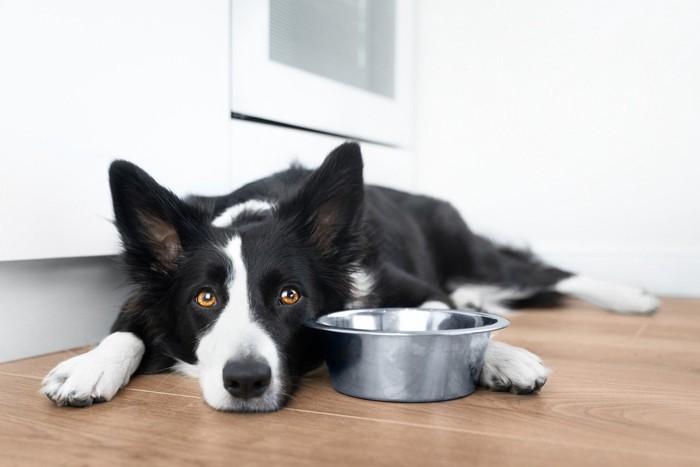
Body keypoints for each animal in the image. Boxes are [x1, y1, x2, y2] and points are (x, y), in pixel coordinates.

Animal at [41, 144, 660, 414]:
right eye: (206, 297)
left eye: (290, 295)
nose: (245, 381)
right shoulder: (151, 292)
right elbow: (126, 327)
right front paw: (88, 366)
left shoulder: (414, 290)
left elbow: (456, 325)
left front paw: (503, 357)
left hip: (479, 262)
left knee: (547, 273)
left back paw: (634, 297)